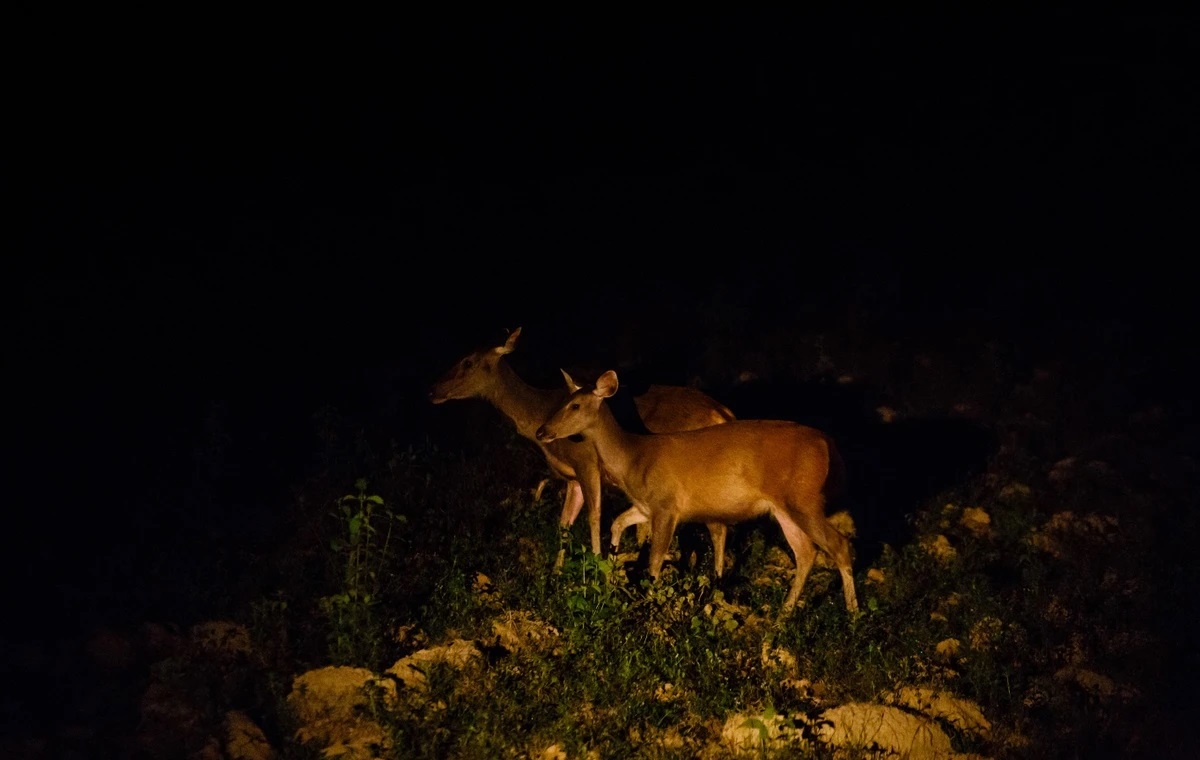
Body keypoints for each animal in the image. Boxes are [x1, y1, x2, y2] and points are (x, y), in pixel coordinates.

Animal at [427, 326, 734, 564]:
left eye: (467, 361)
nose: (433, 390)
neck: (540, 413)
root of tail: (724, 413)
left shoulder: (587, 462)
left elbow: (594, 516)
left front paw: (597, 567)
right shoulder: (572, 477)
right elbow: (564, 523)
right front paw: (557, 573)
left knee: (715, 528)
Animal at [537, 364, 864, 609]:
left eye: (575, 405)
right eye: (560, 402)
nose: (542, 431)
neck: (634, 456)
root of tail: (827, 444)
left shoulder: (667, 505)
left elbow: (655, 560)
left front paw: (648, 604)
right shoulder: (646, 506)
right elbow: (617, 523)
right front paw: (611, 572)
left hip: (804, 499)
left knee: (839, 545)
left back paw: (852, 614)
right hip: (784, 507)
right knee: (806, 553)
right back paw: (784, 613)